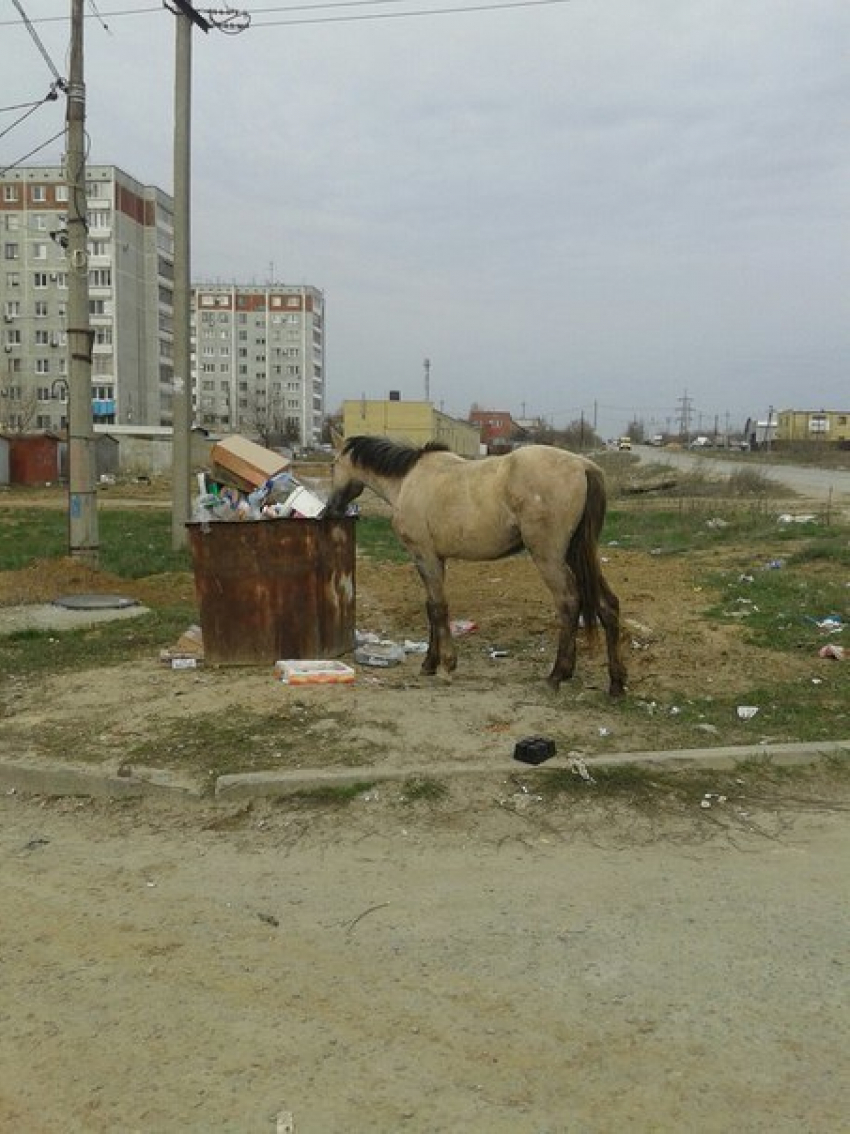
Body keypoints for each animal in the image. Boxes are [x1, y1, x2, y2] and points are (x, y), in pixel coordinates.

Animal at [326, 437, 625, 694]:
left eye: (332, 465)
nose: (331, 509)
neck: (408, 480)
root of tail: (583, 466)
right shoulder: (436, 559)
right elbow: (432, 608)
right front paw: (429, 663)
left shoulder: (424, 556)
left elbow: (438, 608)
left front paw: (446, 665)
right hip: (579, 554)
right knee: (607, 604)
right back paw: (616, 684)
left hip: (549, 558)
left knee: (569, 602)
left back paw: (557, 675)